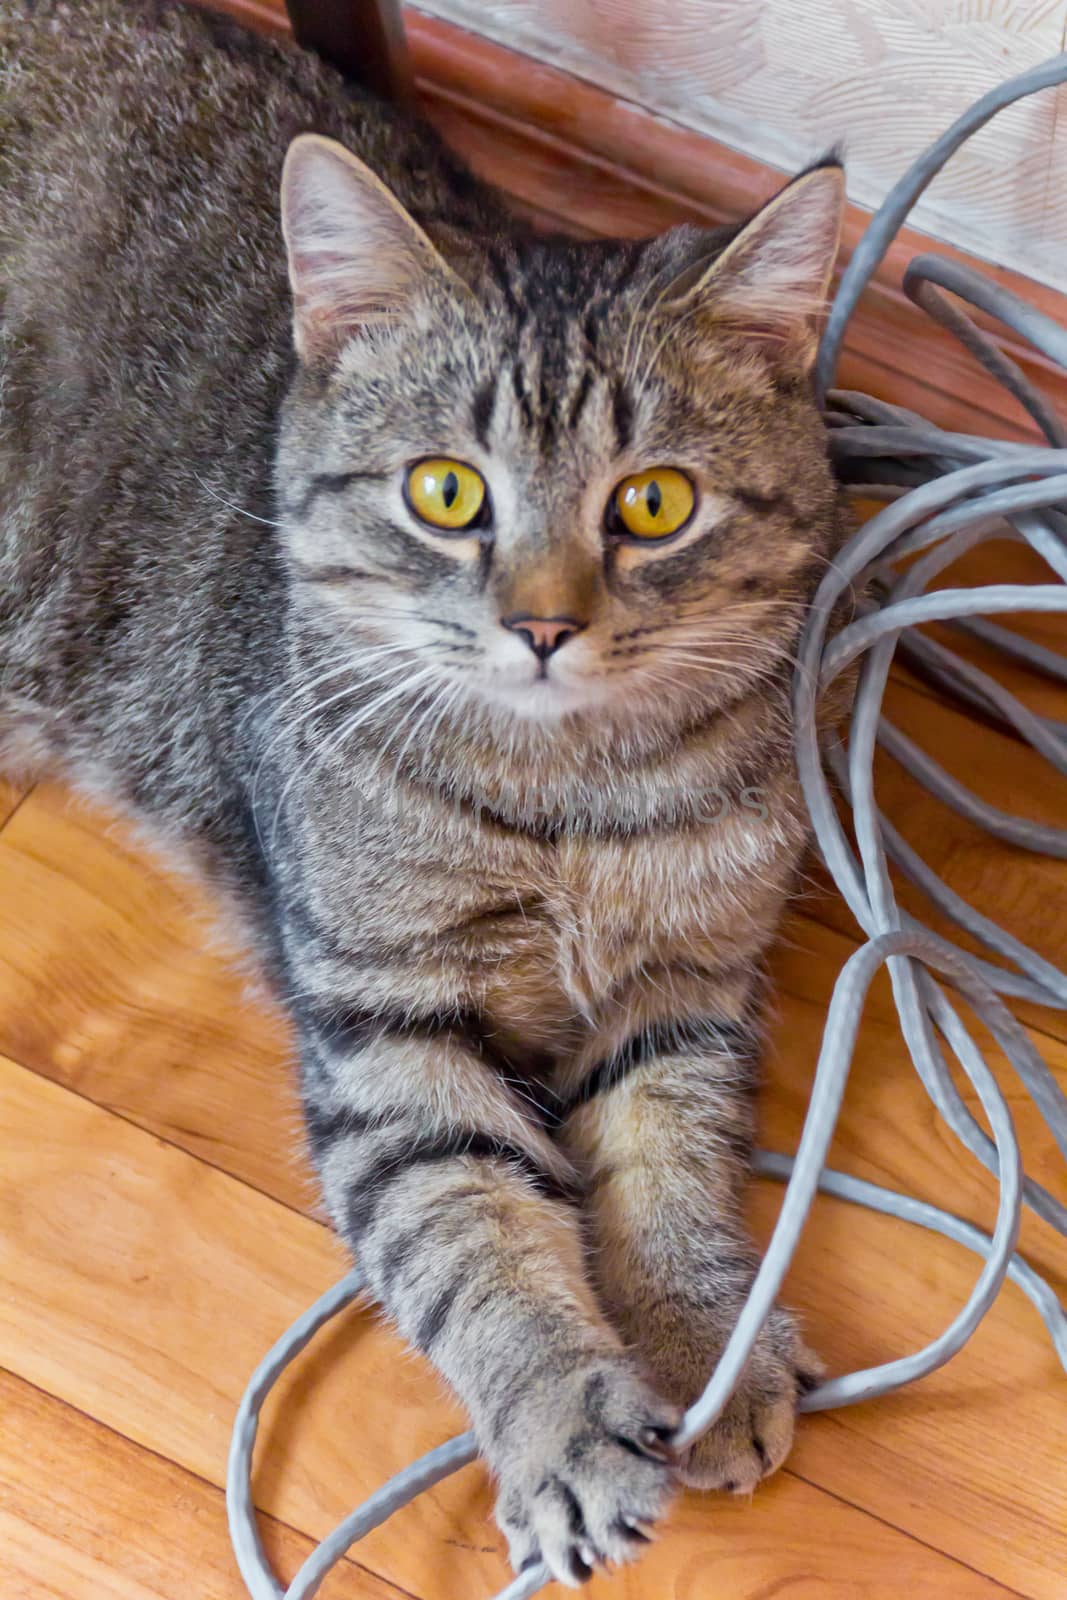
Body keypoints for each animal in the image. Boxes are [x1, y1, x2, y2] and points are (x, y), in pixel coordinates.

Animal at [0, 0, 851, 1574]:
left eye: (652, 504)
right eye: (445, 493)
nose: (541, 624)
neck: (568, 798)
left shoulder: (685, 988)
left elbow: (673, 1169)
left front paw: (704, 1344)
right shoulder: (386, 1029)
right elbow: (468, 1232)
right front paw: (564, 1423)